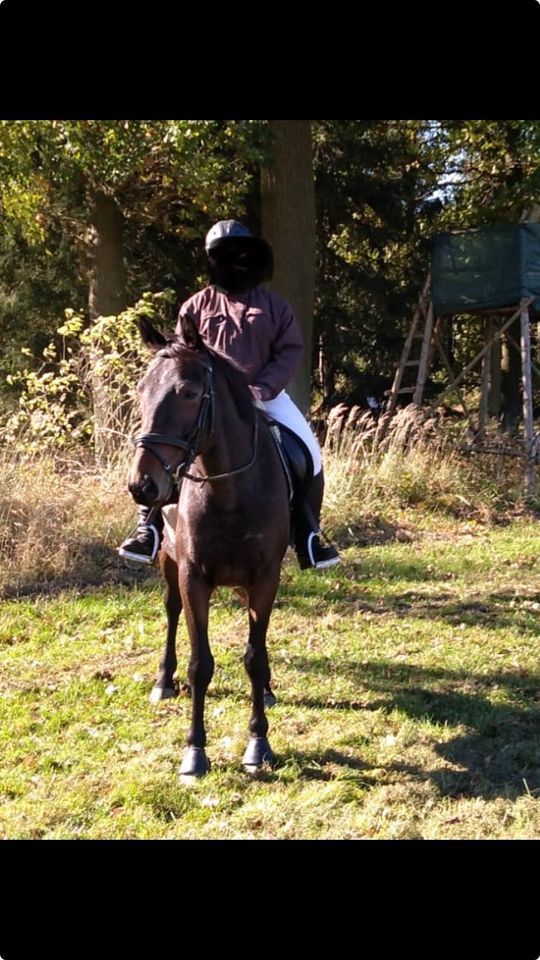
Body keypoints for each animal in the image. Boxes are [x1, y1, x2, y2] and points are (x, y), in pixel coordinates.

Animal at [127, 316, 292, 780]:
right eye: (142, 389)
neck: (230, 490)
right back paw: (163, 681)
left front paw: (258, 744)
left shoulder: (265, 577)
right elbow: (200, 663)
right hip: (168, 563)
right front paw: (195, 752)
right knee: (170, 612)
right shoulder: (192, 576)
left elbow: (254, 656)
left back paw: (267, 690)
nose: (142, 486)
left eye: (188, 392)